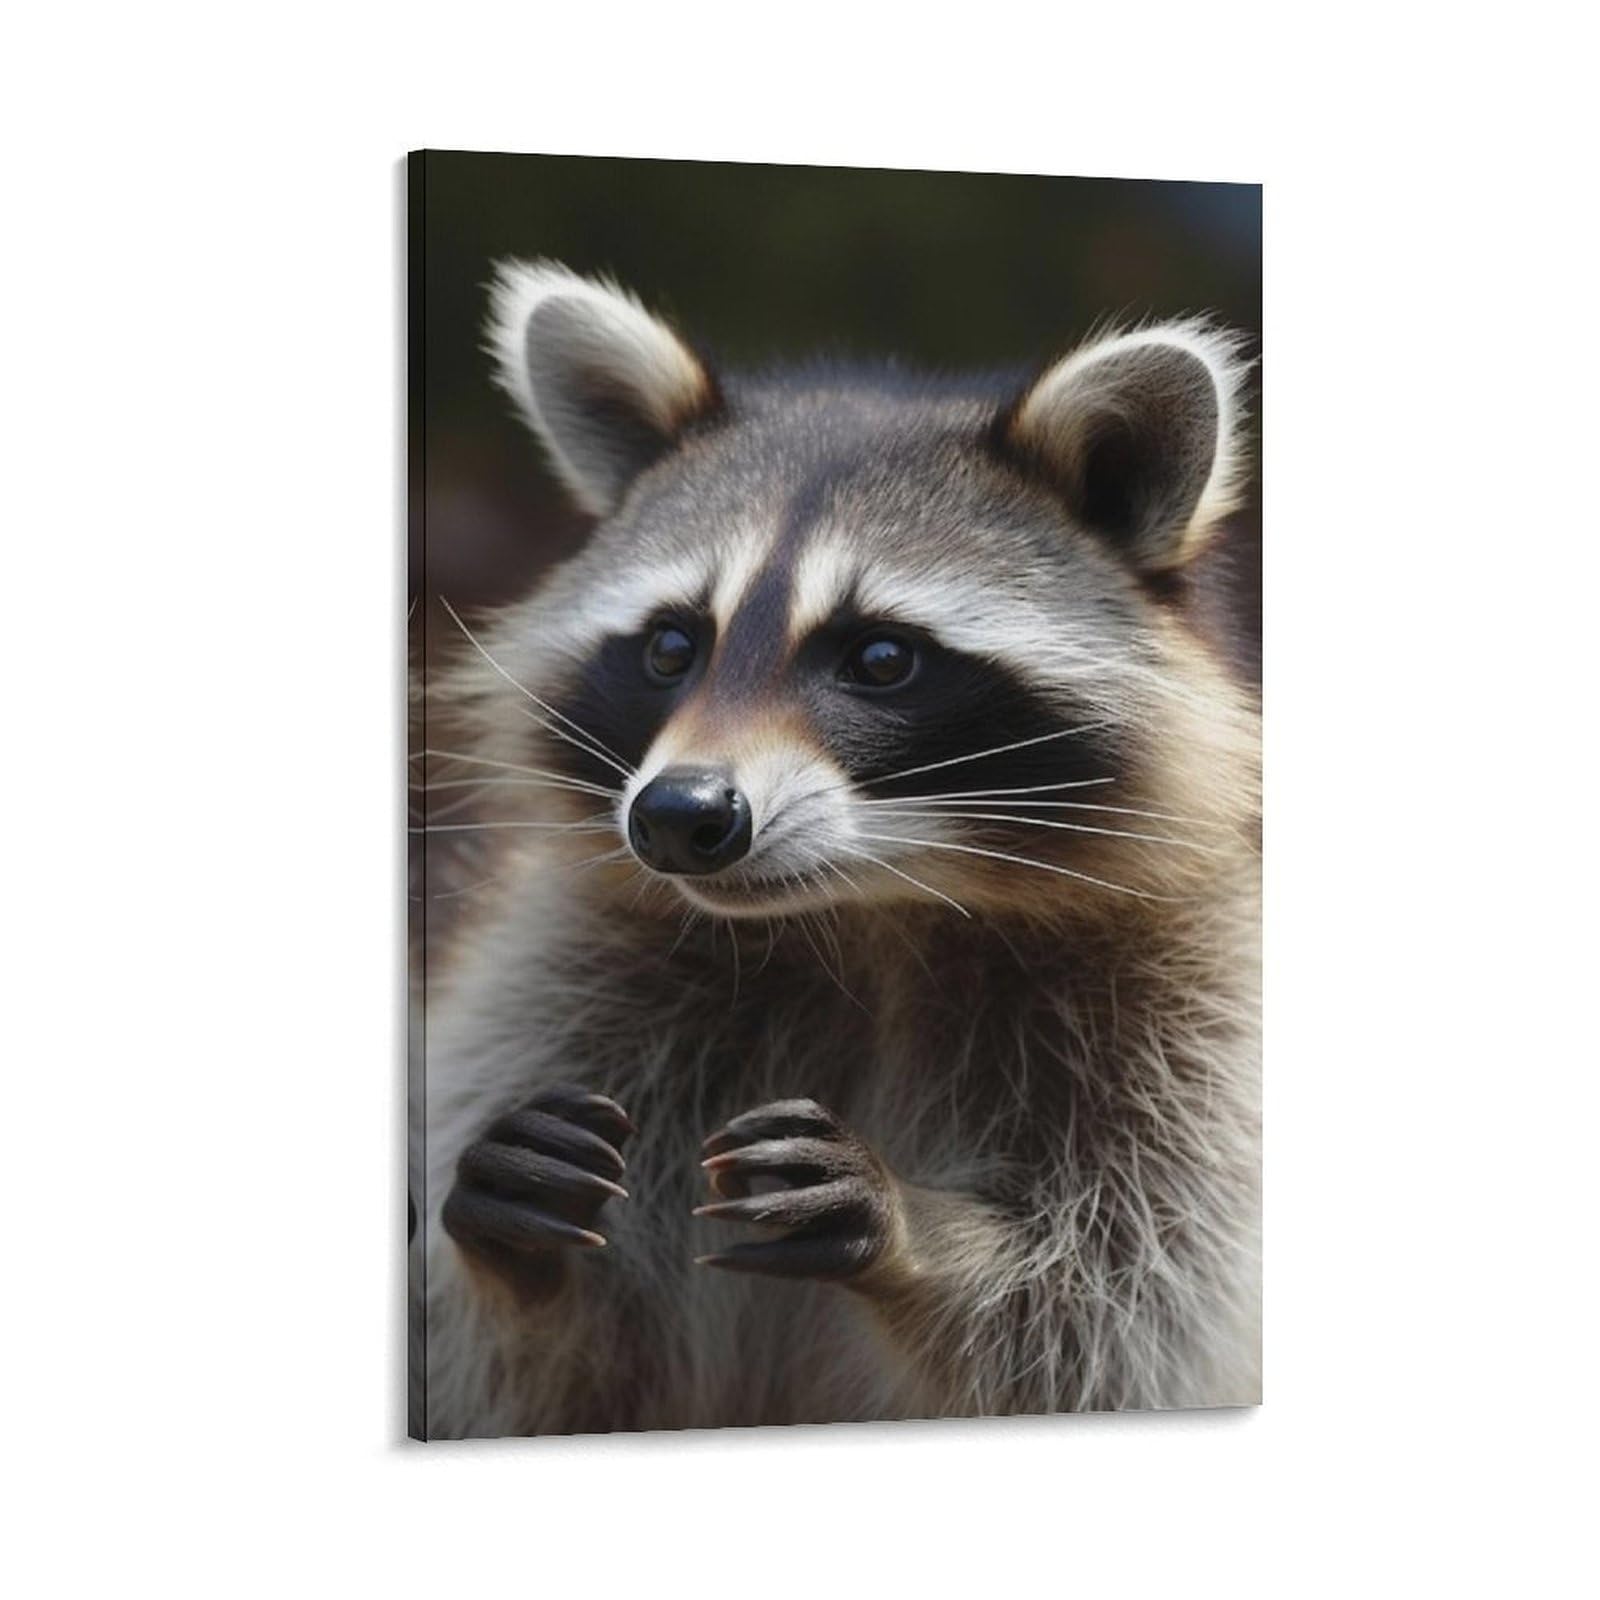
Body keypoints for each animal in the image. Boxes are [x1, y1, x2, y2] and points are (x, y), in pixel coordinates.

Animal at [410, 261, 1260, 1438]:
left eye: (882, 658)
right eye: (671, 645)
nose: (677, 814)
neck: (864, 914)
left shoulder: (1187, 1023)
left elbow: (1113, 1308)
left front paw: (921, 1237)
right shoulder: (571, 976)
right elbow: (551, 1372)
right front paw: (517, 1260)